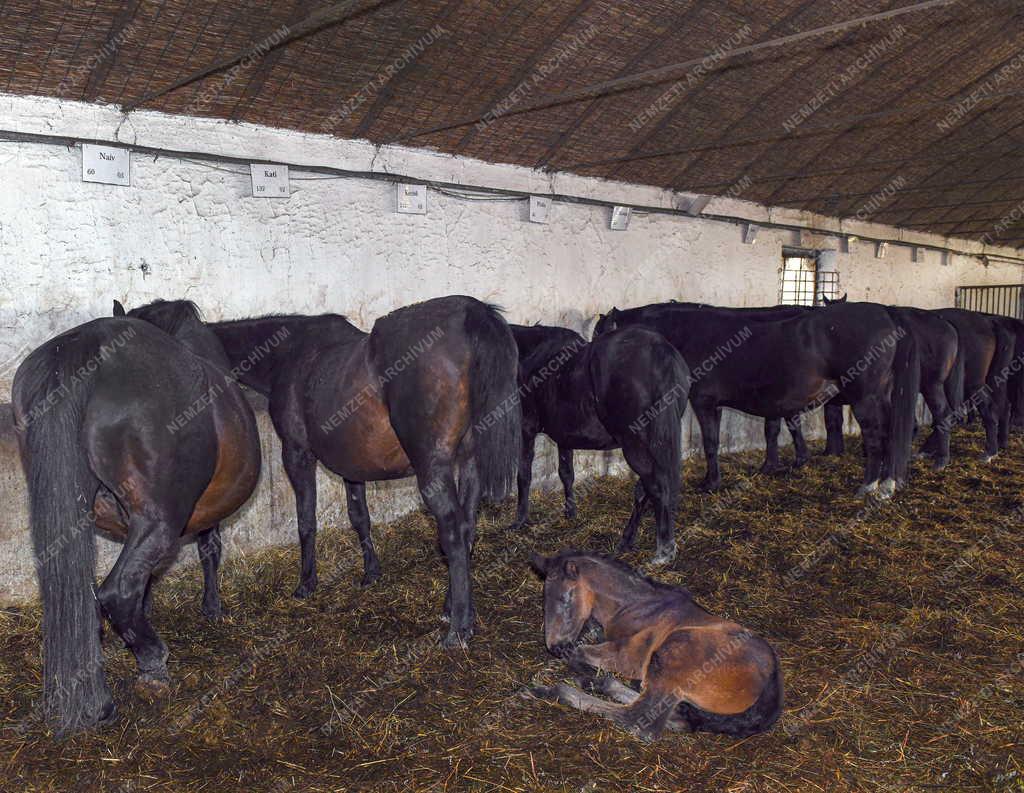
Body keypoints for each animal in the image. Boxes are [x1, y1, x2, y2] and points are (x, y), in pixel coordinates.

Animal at [211, 295, 524, 647]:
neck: (288, 354)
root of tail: (472, 312)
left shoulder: (296, 454)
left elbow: (306, 521)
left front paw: (306, 583)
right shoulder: (352, 465)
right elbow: (359, 517)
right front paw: (371, 572)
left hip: (433, 470)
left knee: (455, 535)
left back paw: (456, 630)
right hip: (469, 463)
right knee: (468, 526)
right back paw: (455, 609)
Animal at [509, 323, 688, 565]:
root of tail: (660, 353)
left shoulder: (526, 429)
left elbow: (524, 475)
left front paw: (519, 521)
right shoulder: (564, 436)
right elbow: (566, 473)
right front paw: (570, 513)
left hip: (636, 447)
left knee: (656, 487)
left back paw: (663, 551)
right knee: (645, 490)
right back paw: (626, 541)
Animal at [528, 553, 782, 745]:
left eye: (565, 598)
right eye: (544, 599)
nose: (555, 647)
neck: (640, 607)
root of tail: (769, 692)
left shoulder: (630, 657)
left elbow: (579, 654)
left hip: (674, 650)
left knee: (639, 719)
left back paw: (553, 690)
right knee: (675, 716)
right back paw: (597, 683)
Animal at [593, 301, 921, 499]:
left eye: (601, 336)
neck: (691, 333)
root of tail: (885, 313)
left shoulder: (705, 402)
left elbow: (711, 443)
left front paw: (710, 482)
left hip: (866, 398)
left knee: (876, 437)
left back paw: (869, 485)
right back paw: (887, 482)